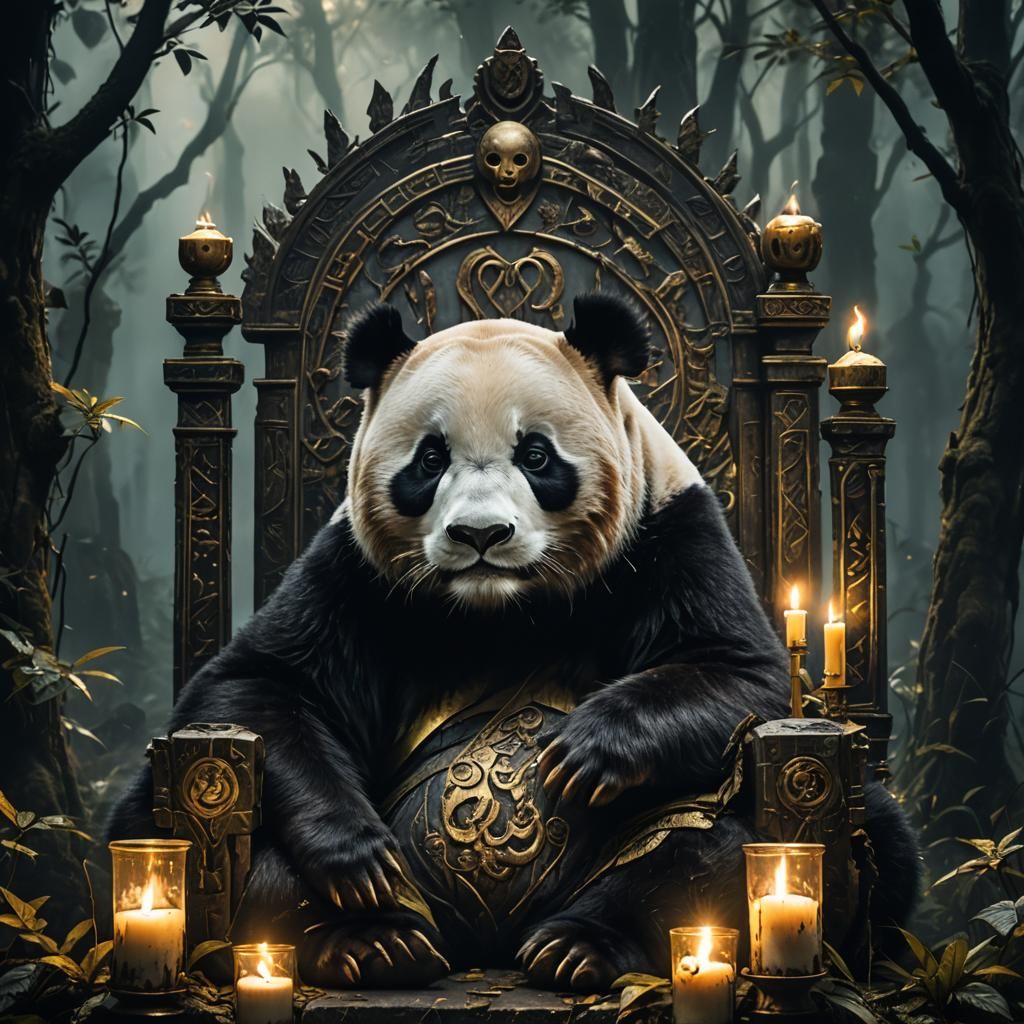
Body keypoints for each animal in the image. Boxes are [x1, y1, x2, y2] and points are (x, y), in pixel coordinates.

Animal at [110, 294, 919, 991]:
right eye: (428, 459)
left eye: (536, 455)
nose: (480, 535)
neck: (500, 609)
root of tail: (485, 946)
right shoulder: (354, 572)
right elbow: (262, 681)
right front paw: (356, 858)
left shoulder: (668, 532)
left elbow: (740, 670)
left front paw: (582, 753)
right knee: (159, 818)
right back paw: (372, 941)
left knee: (746, 824)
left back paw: (580, 946)